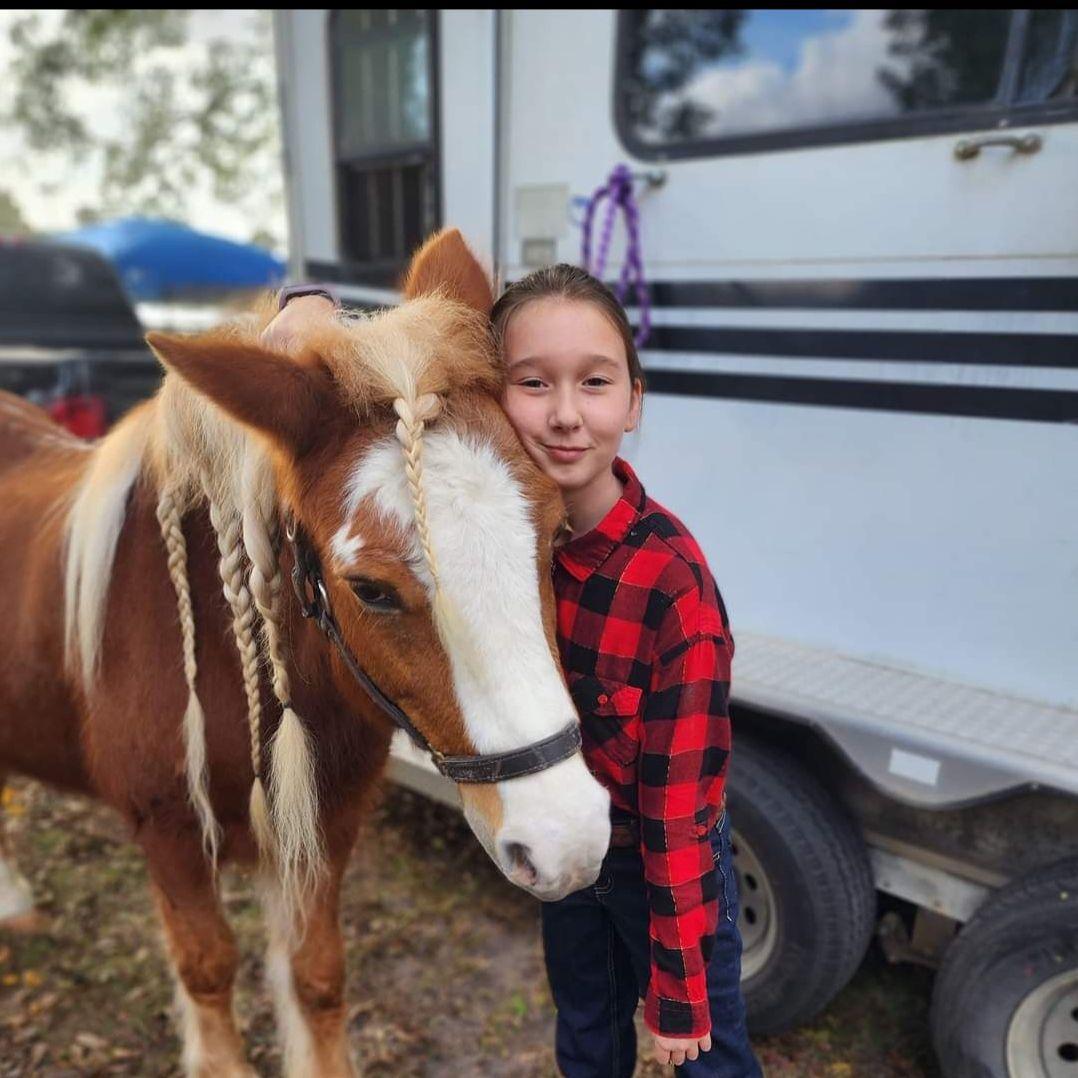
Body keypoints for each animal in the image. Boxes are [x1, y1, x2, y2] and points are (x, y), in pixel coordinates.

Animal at [0, 229, 611, 1077]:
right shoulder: (169, 831)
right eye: (371, 589)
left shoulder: (324, 826)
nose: (569, 841)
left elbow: (318, 978)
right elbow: (207, 969)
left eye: (556, 534)